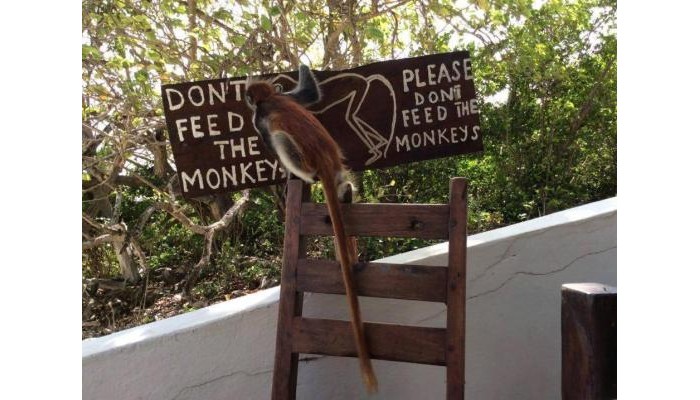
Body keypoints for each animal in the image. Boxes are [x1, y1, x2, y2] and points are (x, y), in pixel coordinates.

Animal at [245, 65, 378, 394]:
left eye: (249, 100)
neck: (271, 100)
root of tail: (325, 160)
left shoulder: (260, 118)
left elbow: (269, 140)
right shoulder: (289, 98)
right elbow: (310, 95)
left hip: (301, 156)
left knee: (281, 140)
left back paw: (303, 177)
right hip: (339, 167)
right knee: (344, 184)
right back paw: (345, 192)